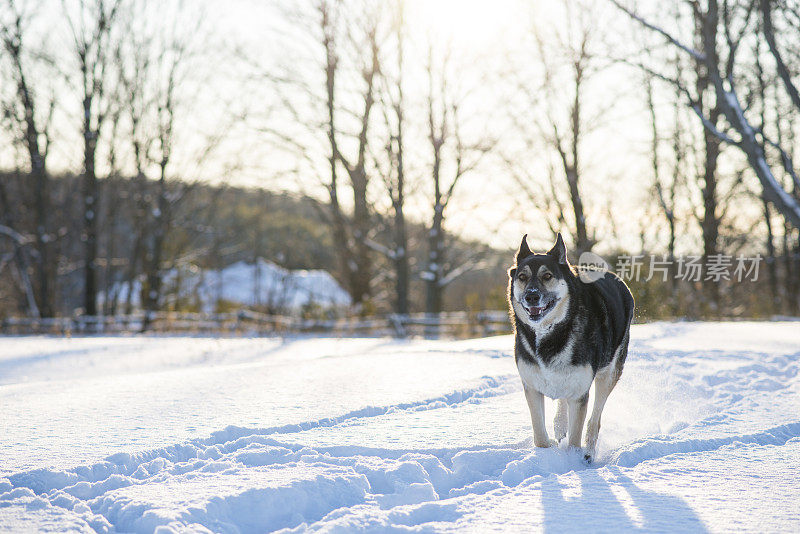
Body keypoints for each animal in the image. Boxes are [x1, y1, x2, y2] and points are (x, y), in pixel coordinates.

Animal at [510, 232, 636, 462]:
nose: (531, 296)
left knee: (595, 418)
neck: (551, 332)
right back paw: (560, 425)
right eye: (522, 277)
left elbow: (577, 434)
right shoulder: (532, 386)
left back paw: (588, 452)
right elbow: (539, 436)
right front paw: (545, 453)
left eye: (547, 276)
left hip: (609, 373)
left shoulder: (579, 393)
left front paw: (573, 460)